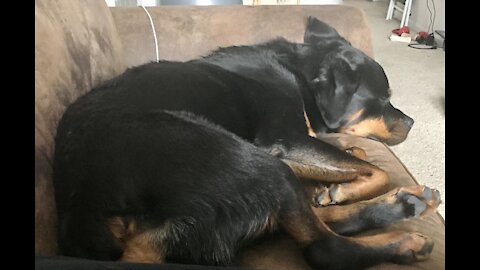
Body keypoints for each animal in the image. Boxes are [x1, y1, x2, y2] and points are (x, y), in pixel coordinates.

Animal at [52, 17, 438, 268]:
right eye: (382, 100)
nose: (411, 122)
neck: (300, 73)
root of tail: (84, 208)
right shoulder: (286, 138)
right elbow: (374, 168)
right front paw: (343, 187)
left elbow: (353, 155)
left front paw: (333, 187)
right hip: (253, 163)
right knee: (324, 246)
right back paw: (402, 233)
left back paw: (405, 203)